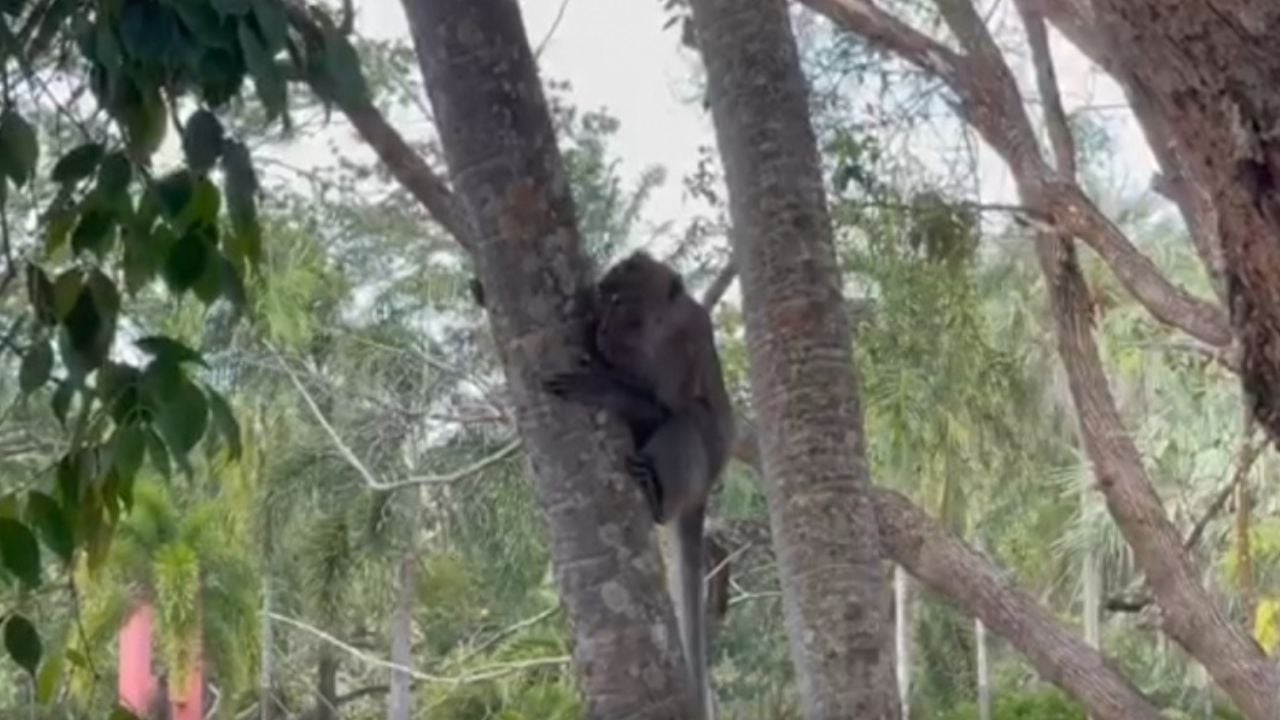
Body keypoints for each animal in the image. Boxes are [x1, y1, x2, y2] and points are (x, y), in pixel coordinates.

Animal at [544, 250, 733, 719]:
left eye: (622, 302)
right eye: (607, 297)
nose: (602, 327)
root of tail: (704, 492)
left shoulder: (679, 345)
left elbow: (665, 407)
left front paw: (603, 388)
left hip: (700, 469)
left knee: (687, 421)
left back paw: (659, 500)